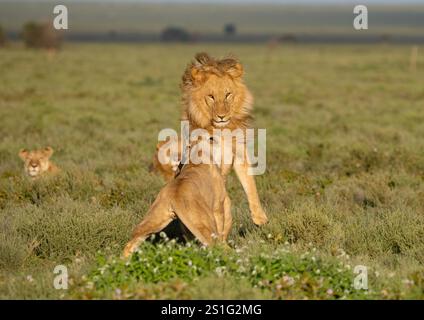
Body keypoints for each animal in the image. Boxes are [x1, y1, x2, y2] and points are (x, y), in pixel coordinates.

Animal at [180, 52, 268, 225]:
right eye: (211, 97)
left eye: (228, 95)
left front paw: (260, 217)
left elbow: (251, 186)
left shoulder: (240, 155)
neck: (222, 131)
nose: (222, 116)